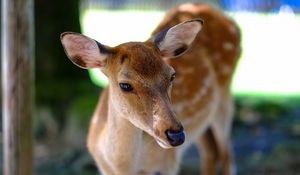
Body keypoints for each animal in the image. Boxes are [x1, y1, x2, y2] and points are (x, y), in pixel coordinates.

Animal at [61, 2, 241, 175]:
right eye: (125, 85)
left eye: (172, 75)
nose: (176, 135)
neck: (122, 167)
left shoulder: (168, 163)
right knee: (211, 152)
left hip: (225, 96)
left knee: (227, 154)